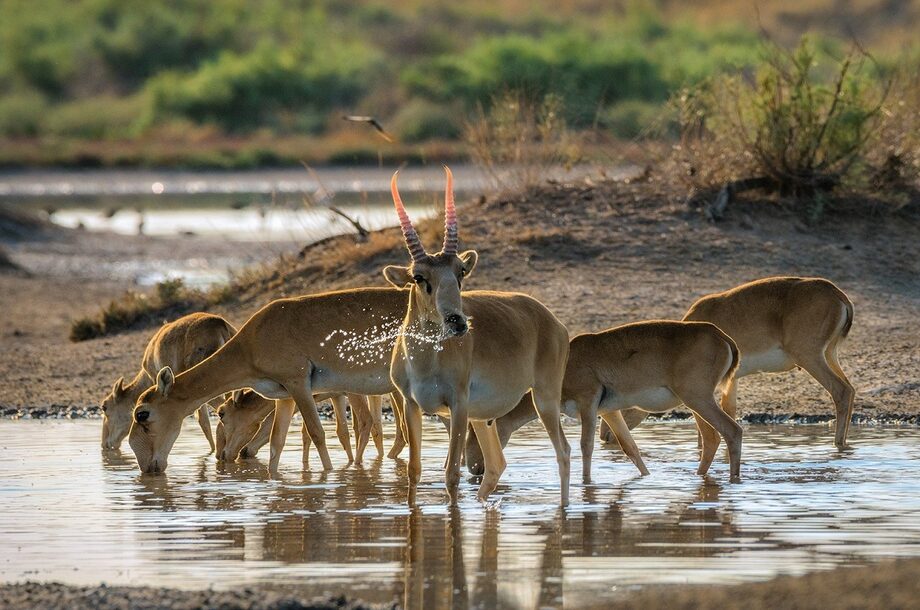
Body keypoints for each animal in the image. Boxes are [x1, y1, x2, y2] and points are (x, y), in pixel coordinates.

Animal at [126, 286, 410, 476]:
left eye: (142, 413)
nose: (147, 467)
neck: (251, 343)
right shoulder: (284, 396)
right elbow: (277, 441)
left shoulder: (298, 383)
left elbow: (317, 433)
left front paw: (328, 475)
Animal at [384, 166, 572, 504]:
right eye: (419, 277)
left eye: (460, 271)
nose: (457, 322)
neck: (425, 361)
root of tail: (551, 320)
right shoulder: (411, 405)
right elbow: (414, 471)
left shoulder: (458, 406)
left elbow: (451, 473)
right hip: (483, 418)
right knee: (497, 464)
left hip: (545, 398)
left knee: (562, 451)